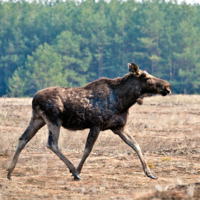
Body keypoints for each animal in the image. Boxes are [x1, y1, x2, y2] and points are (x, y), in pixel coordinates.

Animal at [7, 63, 171, 181]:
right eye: (146, 77)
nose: (168, 86)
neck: (124, 102)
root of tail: (34, 99)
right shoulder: (96, 125)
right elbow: (87, 150)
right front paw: (78, 171)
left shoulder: (119, 127)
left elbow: (136, 146)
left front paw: (149, 173)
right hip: (53, 120)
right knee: (51, 143)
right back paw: (73, 170)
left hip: (38, 118)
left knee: (23, 138)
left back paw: (9, 172)